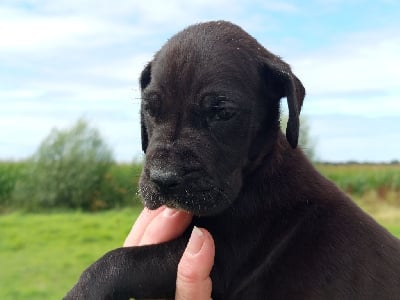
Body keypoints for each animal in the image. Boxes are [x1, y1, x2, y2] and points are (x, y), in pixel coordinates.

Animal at [65, 20, 400, 298]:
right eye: (150, 109)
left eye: (222, 112)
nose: (162, 178)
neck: (257, 170)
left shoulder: (222, 256)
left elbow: (121, 261)